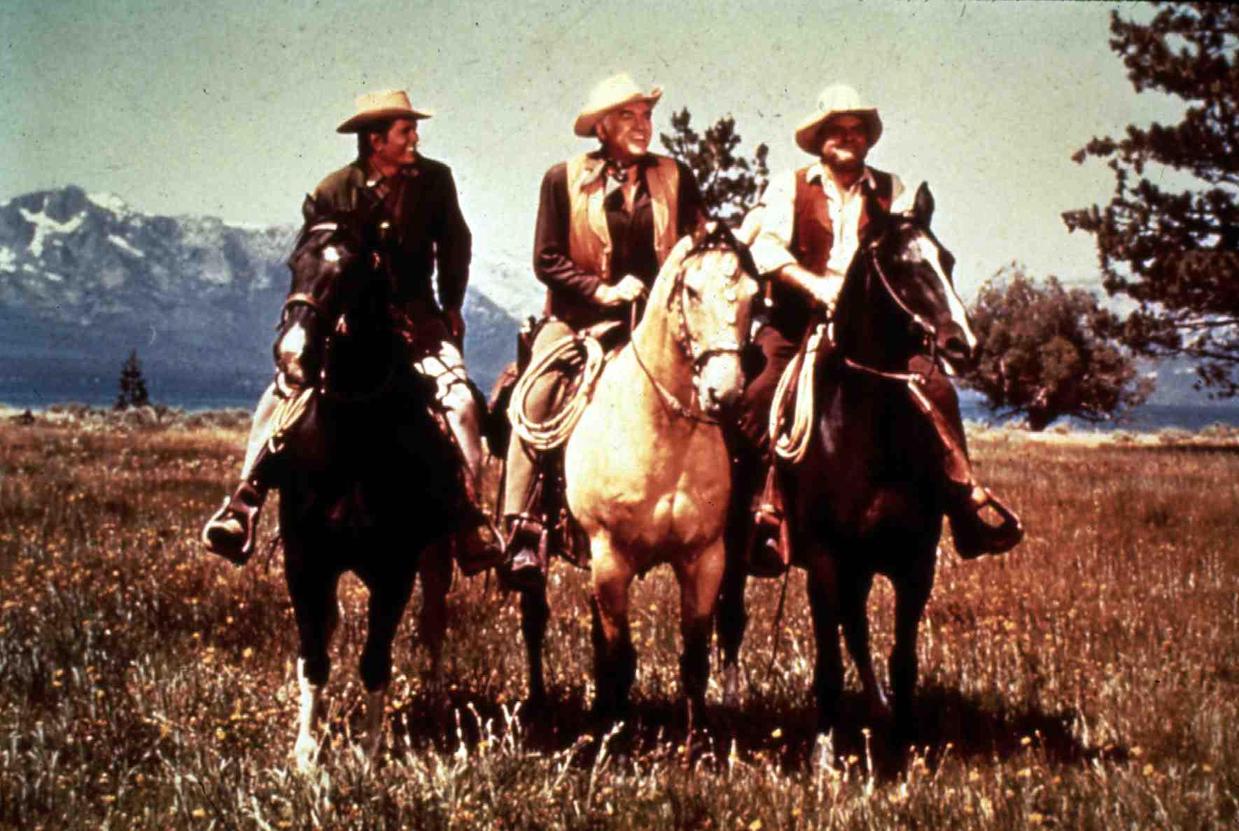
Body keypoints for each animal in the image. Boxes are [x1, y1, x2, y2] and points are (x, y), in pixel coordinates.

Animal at [266, 198, 465, 772]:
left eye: (354, 271)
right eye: (294, 263)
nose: (294, 355)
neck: (352, 440)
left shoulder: (394, 570)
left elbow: (376, 659)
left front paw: (371, 752)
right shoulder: (305, 563)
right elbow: (314, 656)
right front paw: (306, 751)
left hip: (437, 558)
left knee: (433, 624)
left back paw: (436, 700)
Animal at [510, 224, 758, 723]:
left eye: (752, 295)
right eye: (691, 291)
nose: (724, 392)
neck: (662, 429)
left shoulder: (704, 560)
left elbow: (694, 659)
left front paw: (695, 738)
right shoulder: (611, 557)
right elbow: (620, 657)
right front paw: (615, 730)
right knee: (534, 619)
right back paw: (539, 703)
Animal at [718, 185, 986, 743]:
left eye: (946, 260)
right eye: (900, 266)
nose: (963, 344)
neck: (868, 433)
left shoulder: (914, 564)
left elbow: (901, 660)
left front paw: (902, 743)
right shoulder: (825, 560)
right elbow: (828, 667)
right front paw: (823, 750)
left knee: (856, 628)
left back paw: (878, 710)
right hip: (734, 547)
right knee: (732, 618)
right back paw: (730, 704)